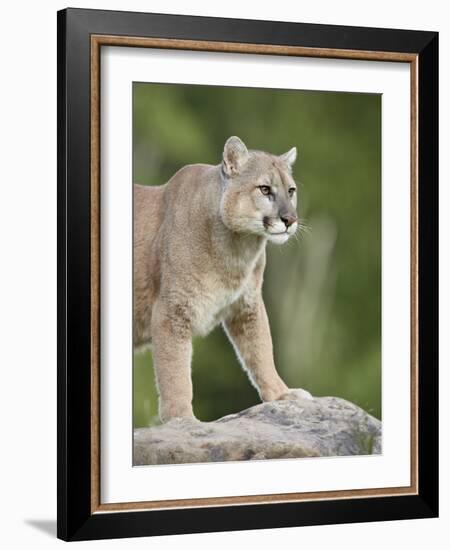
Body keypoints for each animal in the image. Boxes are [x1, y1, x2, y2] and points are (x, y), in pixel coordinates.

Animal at [134, 137, 312, 422]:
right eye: (265, 189)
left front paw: (282, 394)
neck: (238, 247)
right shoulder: (172, 311)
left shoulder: (247, 305)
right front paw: (183, 419)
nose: (290, 219)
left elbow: (261, 351)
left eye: (291, 190)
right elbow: (175, 374)